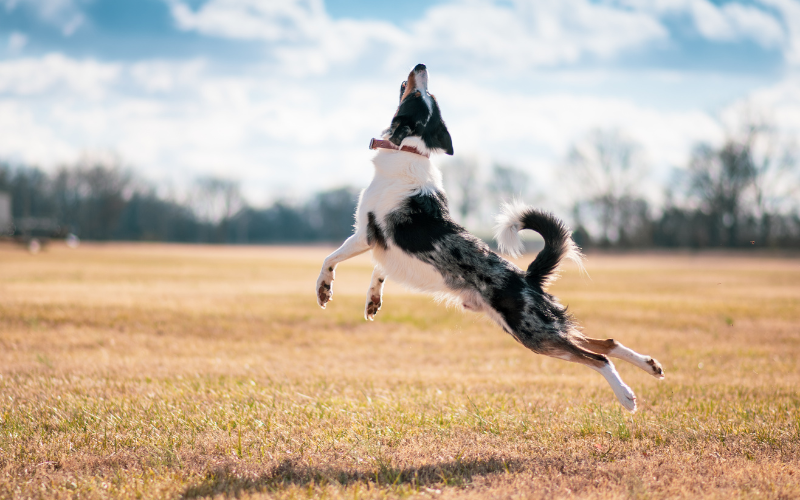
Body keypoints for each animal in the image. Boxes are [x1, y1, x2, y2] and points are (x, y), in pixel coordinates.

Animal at [316, 64, 664, 412]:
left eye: (419, 94)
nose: (421, 66)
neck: (410, 147)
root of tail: (528, 277)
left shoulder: (365, 234)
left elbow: (331, 258)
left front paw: (324, 290)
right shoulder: (388, 249)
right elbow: (380, 271)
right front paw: (373, 300)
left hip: (533, 333)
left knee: (598, 357)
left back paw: (626, 396)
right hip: (539, 328)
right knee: (605, 342)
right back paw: (650, 365)